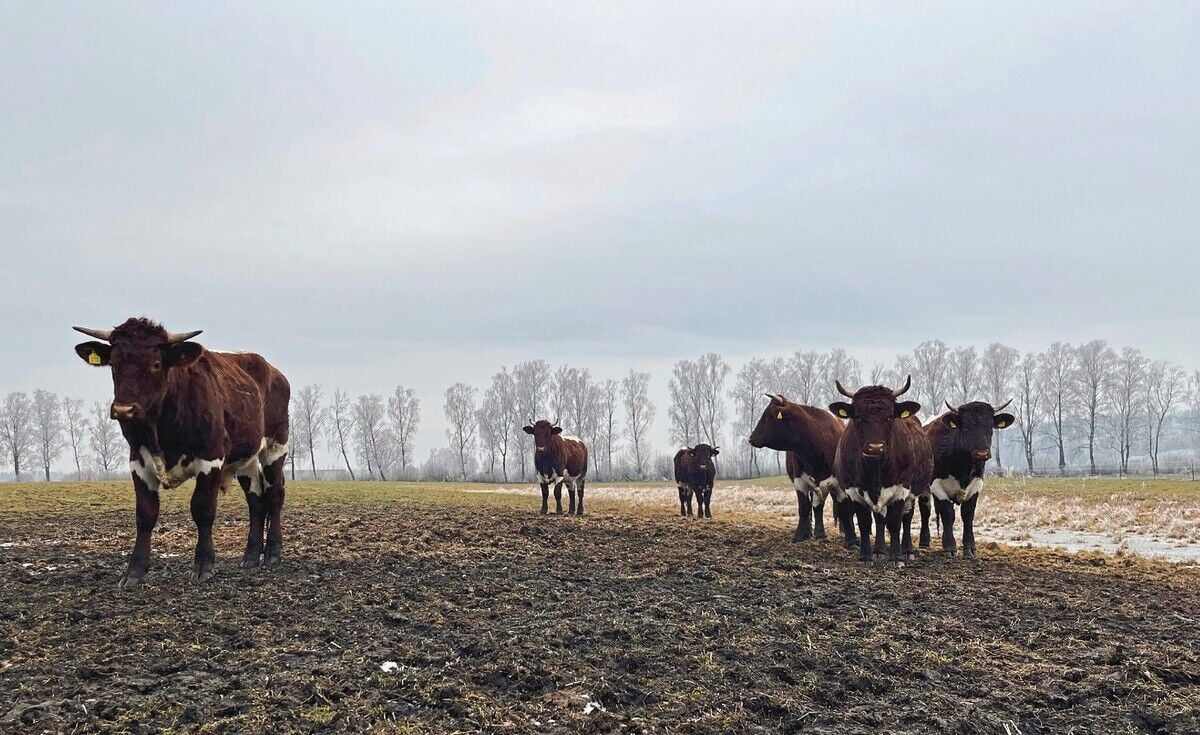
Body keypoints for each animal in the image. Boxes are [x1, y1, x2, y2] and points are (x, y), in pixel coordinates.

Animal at [73, 318, 290, 588]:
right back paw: (250, 557)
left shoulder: (211, 459)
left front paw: (204, 565)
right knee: (256, 501)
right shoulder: (138, 461)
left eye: (156, 364)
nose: (124, 410)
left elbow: (203, 510)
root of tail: (271, 370)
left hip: (275, 447)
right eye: (113, 363)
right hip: (245, 459)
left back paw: (272, 554)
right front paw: (134, 571)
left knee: (275, 494)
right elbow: (145, 515)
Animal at [747, 394, 854, 546]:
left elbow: (843, 509)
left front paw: (851, 539)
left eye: (768, 417)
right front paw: (800, 535)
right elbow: (804, 508)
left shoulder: (839, 484)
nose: (751, 439)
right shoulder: (800, 481)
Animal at [828, 376, 932, 567]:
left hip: (913, 492)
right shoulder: (853, 490)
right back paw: (878, 551)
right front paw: (866, 556)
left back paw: (907, 550)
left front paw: (896, 557)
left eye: (890, 416)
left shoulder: (901, 489)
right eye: (858, 416)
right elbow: (865, 523)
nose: (875, 447)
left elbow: (895, 523)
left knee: (906, 519)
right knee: (879, 519)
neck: (875, 469)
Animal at [921, 400, 1015, 557]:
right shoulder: (937, 485)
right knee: (925, 510)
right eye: (965, 427)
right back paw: (923, 542)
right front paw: (950, 546)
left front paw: (970, 547)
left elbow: (968, 515)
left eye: (990, 426)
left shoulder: (976, 485)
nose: (982, 453)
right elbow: (948, 515)